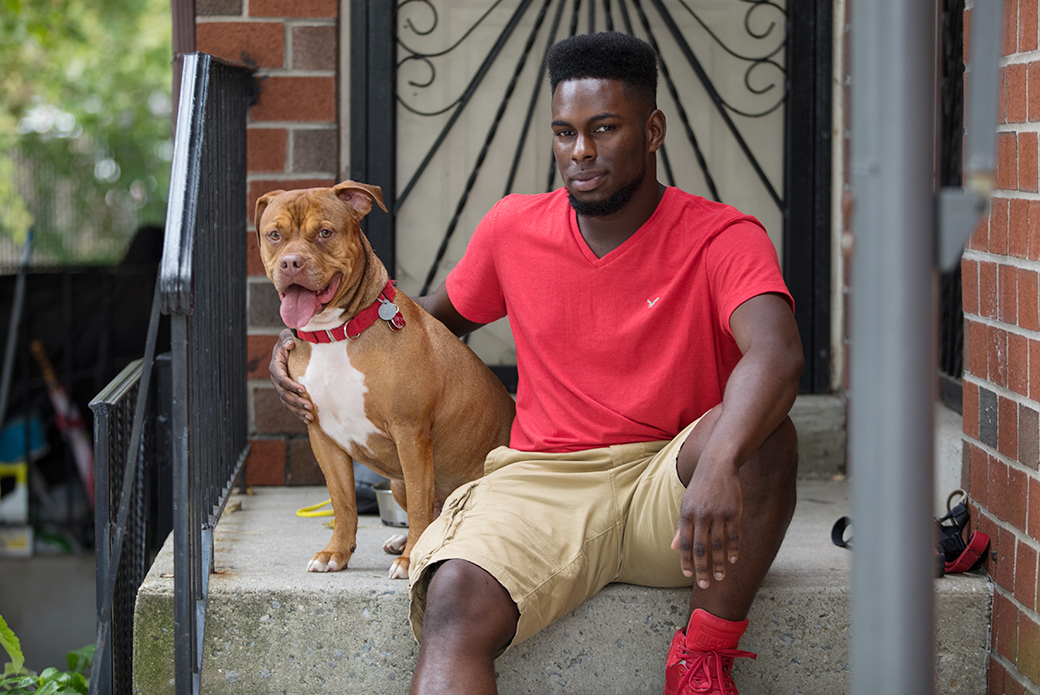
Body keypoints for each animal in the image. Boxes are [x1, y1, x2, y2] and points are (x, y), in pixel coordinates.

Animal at [251, 178, 511, 574]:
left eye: (325, 233)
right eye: (274, 235)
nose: (291, 262)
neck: (335, 335)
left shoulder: (410, 432)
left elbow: (419, 503)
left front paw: (410, 559)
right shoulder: (322, 436)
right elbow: (343, 502)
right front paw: (336, 553)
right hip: (396, 480)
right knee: (431, 515)